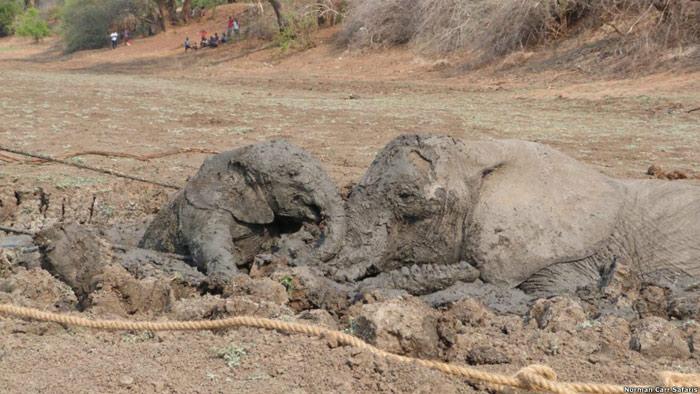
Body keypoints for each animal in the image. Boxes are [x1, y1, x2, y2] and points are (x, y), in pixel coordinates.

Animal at [138, 140, 346, 284]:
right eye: (293, 174)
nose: (296, 260)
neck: (240, 154)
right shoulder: (203, 208)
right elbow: (207, 243)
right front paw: (230, 280)